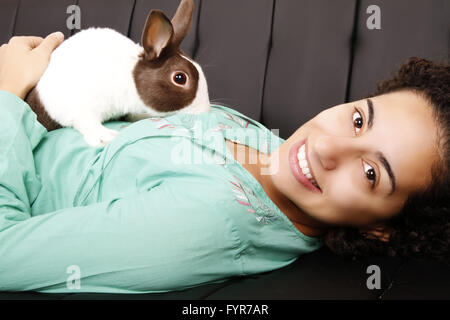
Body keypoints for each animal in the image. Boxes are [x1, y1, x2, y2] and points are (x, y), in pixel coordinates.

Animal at [25, 0, 211, 147]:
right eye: (180, 78)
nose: (206, 111)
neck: (129, 80)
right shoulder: (77, 102)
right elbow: (85, 120)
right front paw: (104, 137)